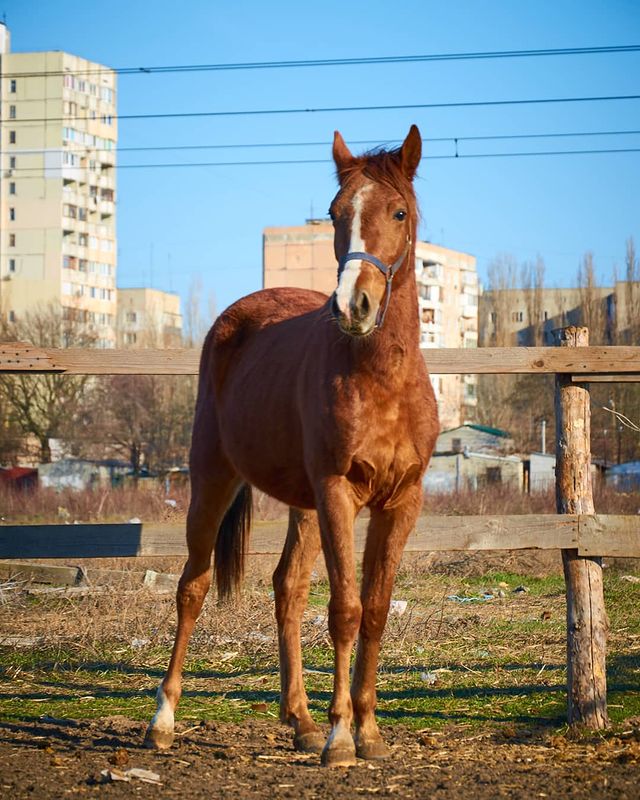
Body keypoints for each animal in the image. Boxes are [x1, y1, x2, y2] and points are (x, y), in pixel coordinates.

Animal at [144, 126, 440, 768]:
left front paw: (368, 731)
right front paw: (341, 738)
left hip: (303, 506)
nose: (353, 306)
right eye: (334, 213)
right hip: (215, 481)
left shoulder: (401, 502)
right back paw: (162, 721)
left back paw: (298, 719)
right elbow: (346, 609)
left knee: (287, 589)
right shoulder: (338, 493)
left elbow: (376, 609)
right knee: (192, 587)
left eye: (399, 212)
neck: (382, 380)